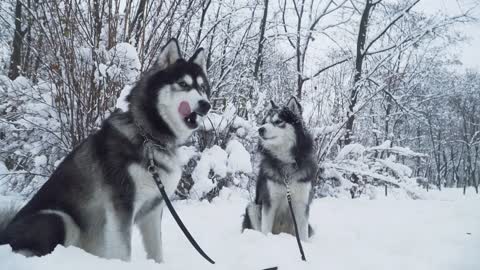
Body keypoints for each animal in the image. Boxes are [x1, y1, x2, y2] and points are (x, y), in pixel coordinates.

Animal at [0, 39, 212, 262]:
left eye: (202, 88)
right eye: (183, 84)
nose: (206, 105)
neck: (149, 137)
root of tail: (4, 235)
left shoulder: (154, 209)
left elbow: (157, 251)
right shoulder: (121, 206)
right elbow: (123, 250)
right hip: (58, 217)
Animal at [242, 97, 316, 240]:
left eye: (278, 121)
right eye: (265, 122)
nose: (260, 129)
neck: (286, 162)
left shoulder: (301, 203)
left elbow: (303, 235)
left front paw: (305, 244)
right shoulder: (269, 201)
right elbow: (265, 229)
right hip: (253, 207)